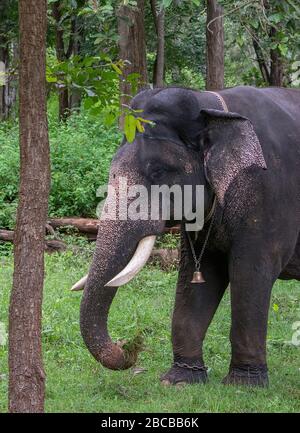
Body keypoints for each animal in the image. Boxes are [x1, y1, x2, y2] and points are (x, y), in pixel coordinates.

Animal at [72, 84, 300, 384]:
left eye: (158, 172)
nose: (129, 345)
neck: (211, 105)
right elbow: (198, 273)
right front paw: (180, 380)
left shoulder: (269, 194)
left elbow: (250, 272)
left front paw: (244, 383)